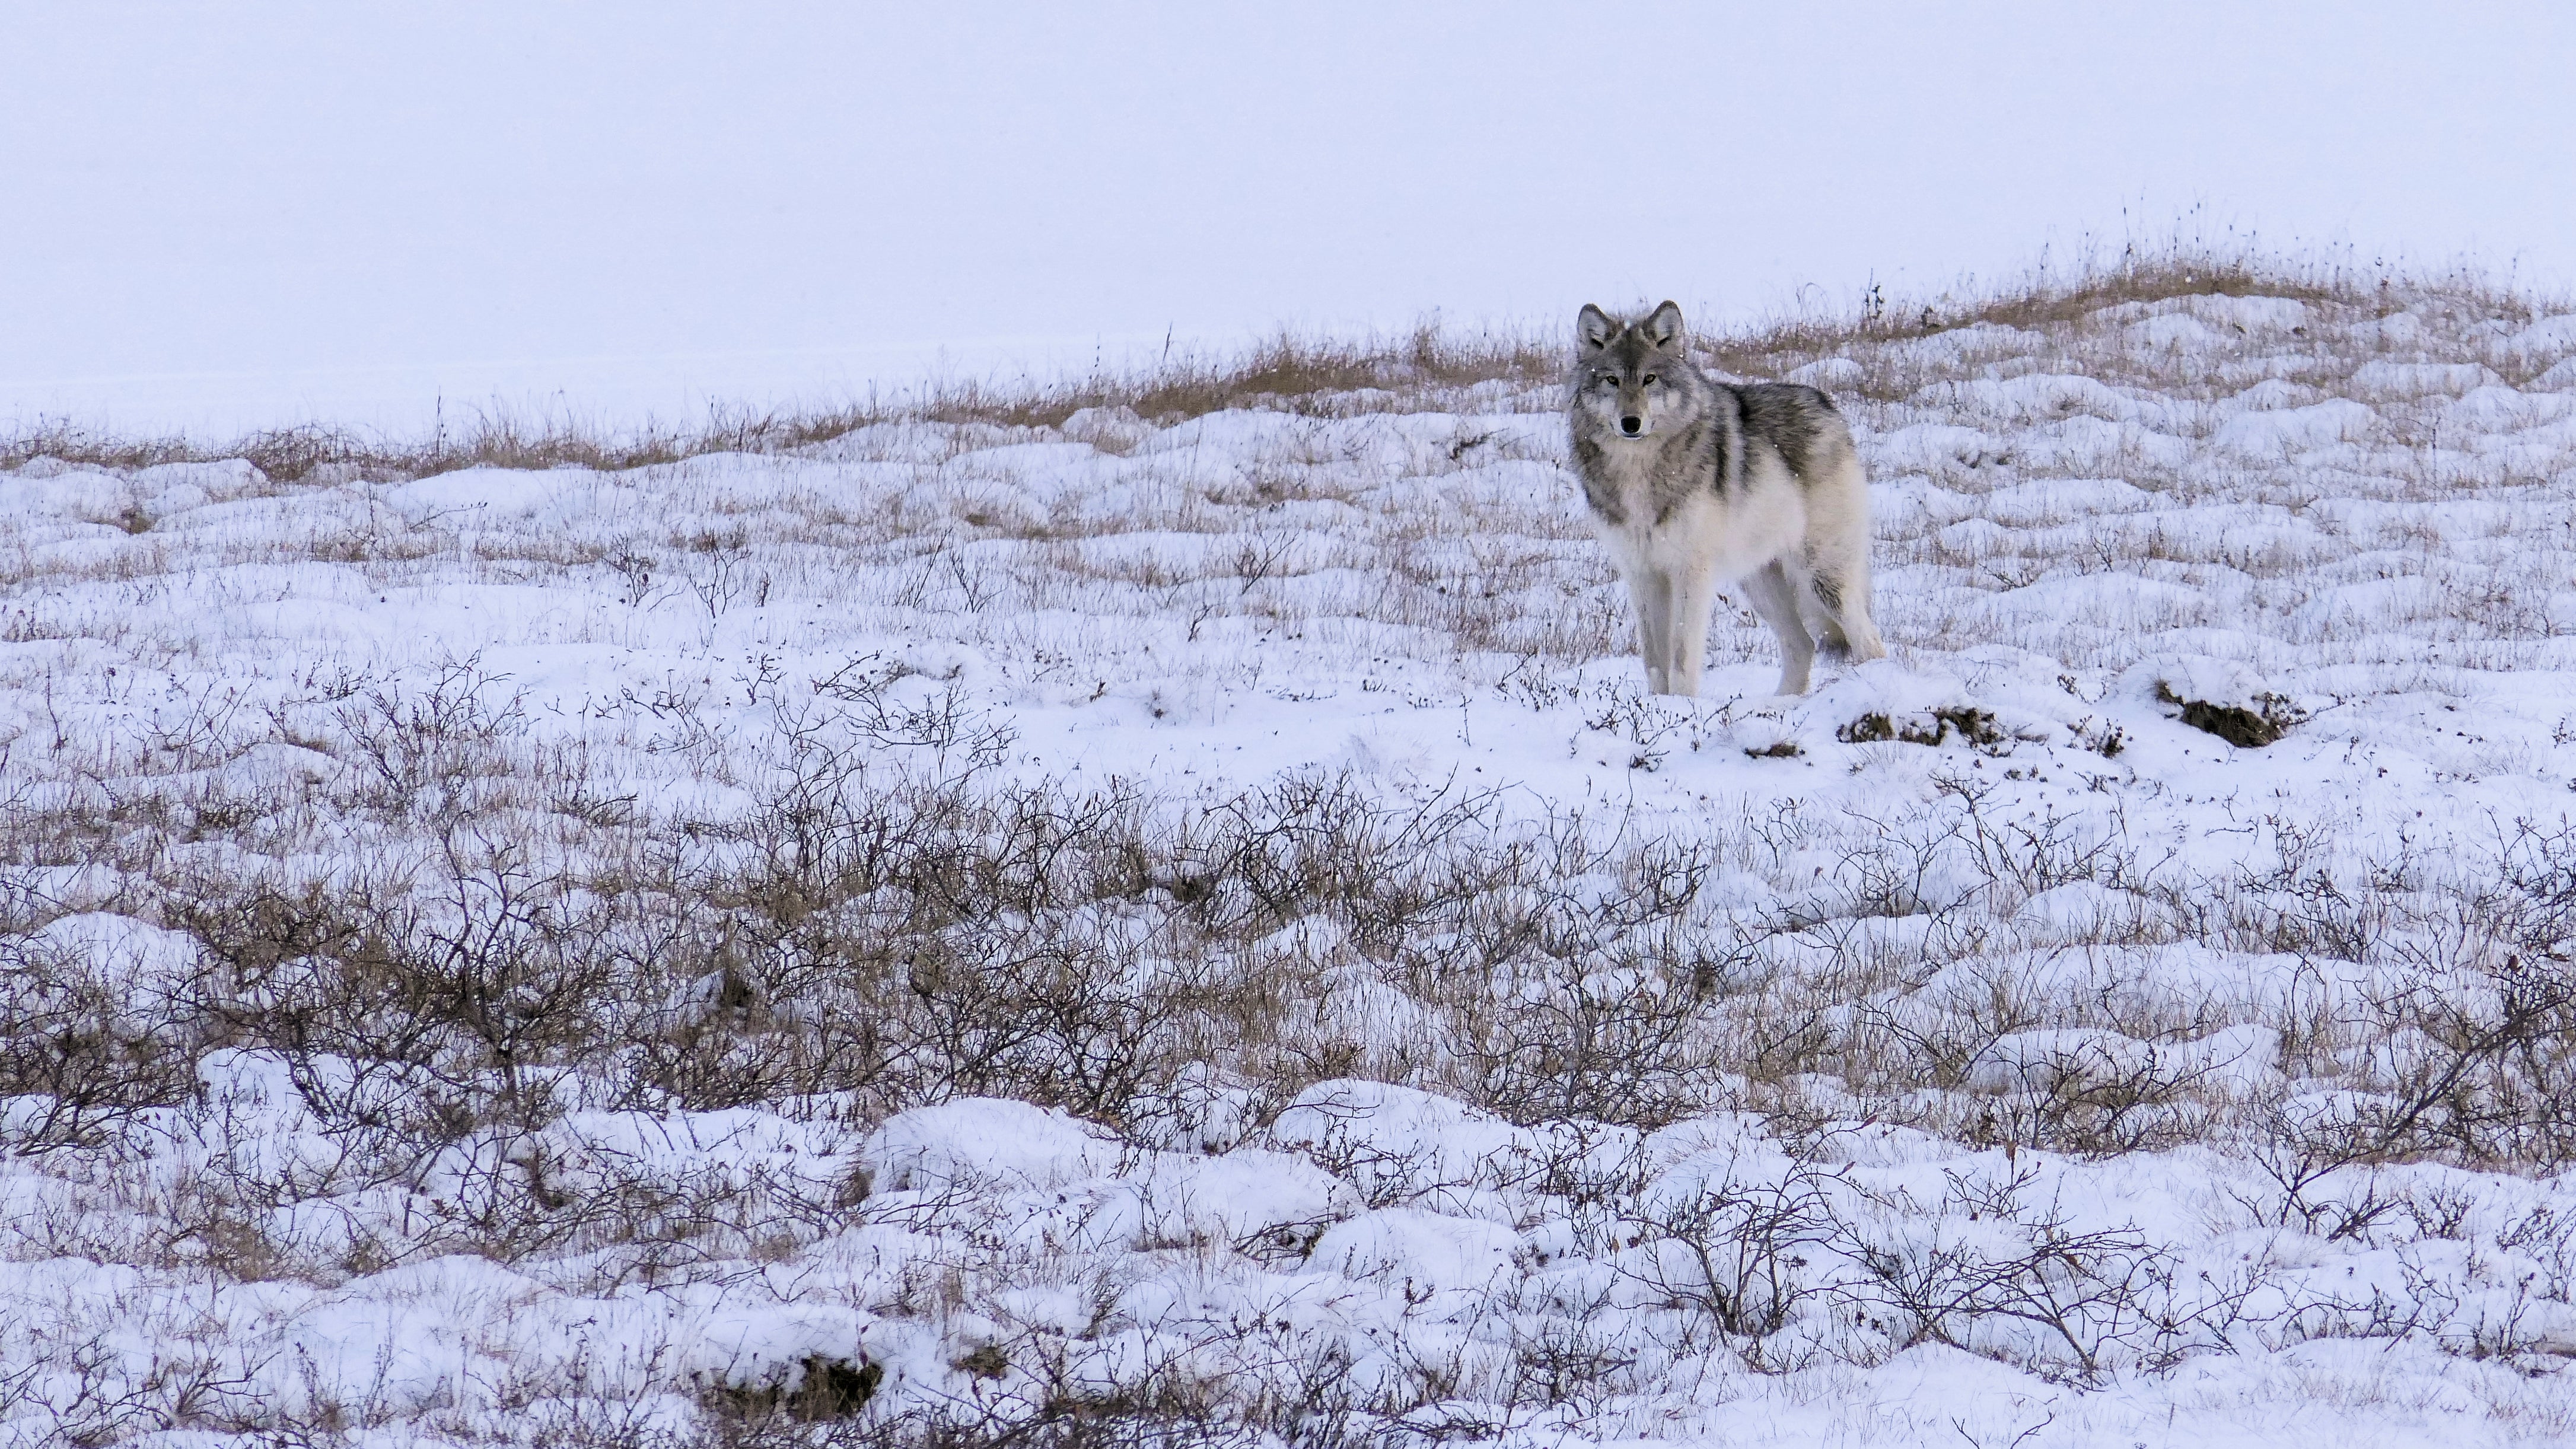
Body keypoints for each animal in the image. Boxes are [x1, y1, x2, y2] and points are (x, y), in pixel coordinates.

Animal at [1556, 301, 1886, 695]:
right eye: (1612, 380)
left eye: (1650, 379)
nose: (1631, 423)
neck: (1638, 470)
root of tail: (1828, 407)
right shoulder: (1642, 574)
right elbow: (1654, 663)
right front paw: (1659, 704)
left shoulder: (1690, 572)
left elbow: (1682, 659)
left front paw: (1681, 707)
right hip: (1759, 582)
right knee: (1802, 645)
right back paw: (1778, 705)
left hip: (1821, 577)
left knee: (1870, 643)